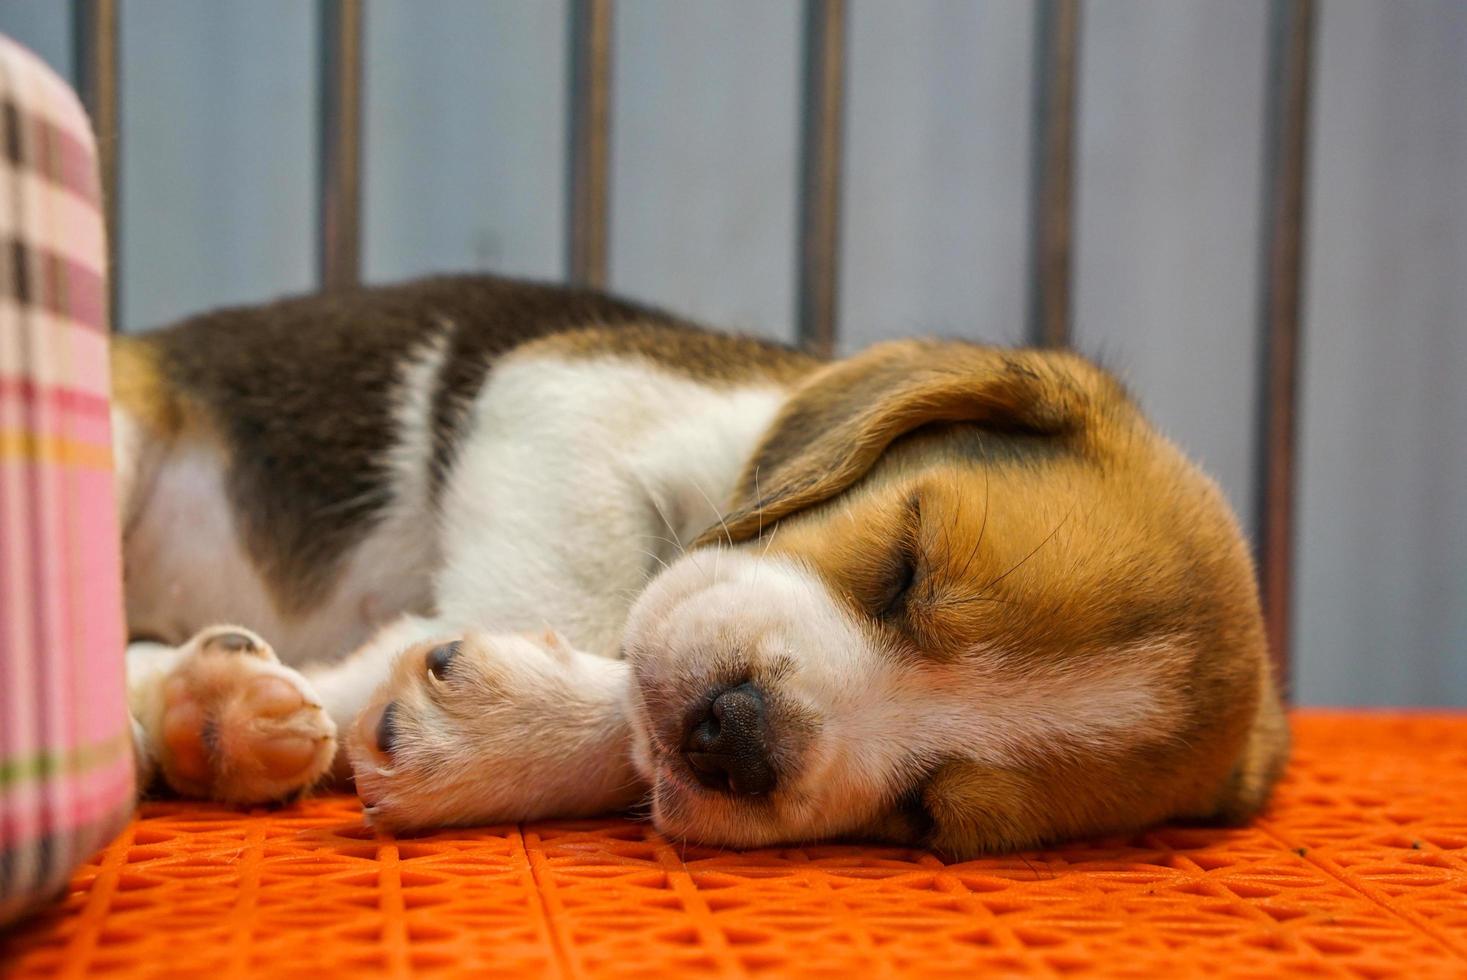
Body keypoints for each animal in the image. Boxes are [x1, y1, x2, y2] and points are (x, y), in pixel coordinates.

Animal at [114, 271, 1285, 850]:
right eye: (905, 564)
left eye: (929, 817)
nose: (739, 736)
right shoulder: (570, 390)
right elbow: (594, 611)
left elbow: (620, 697)